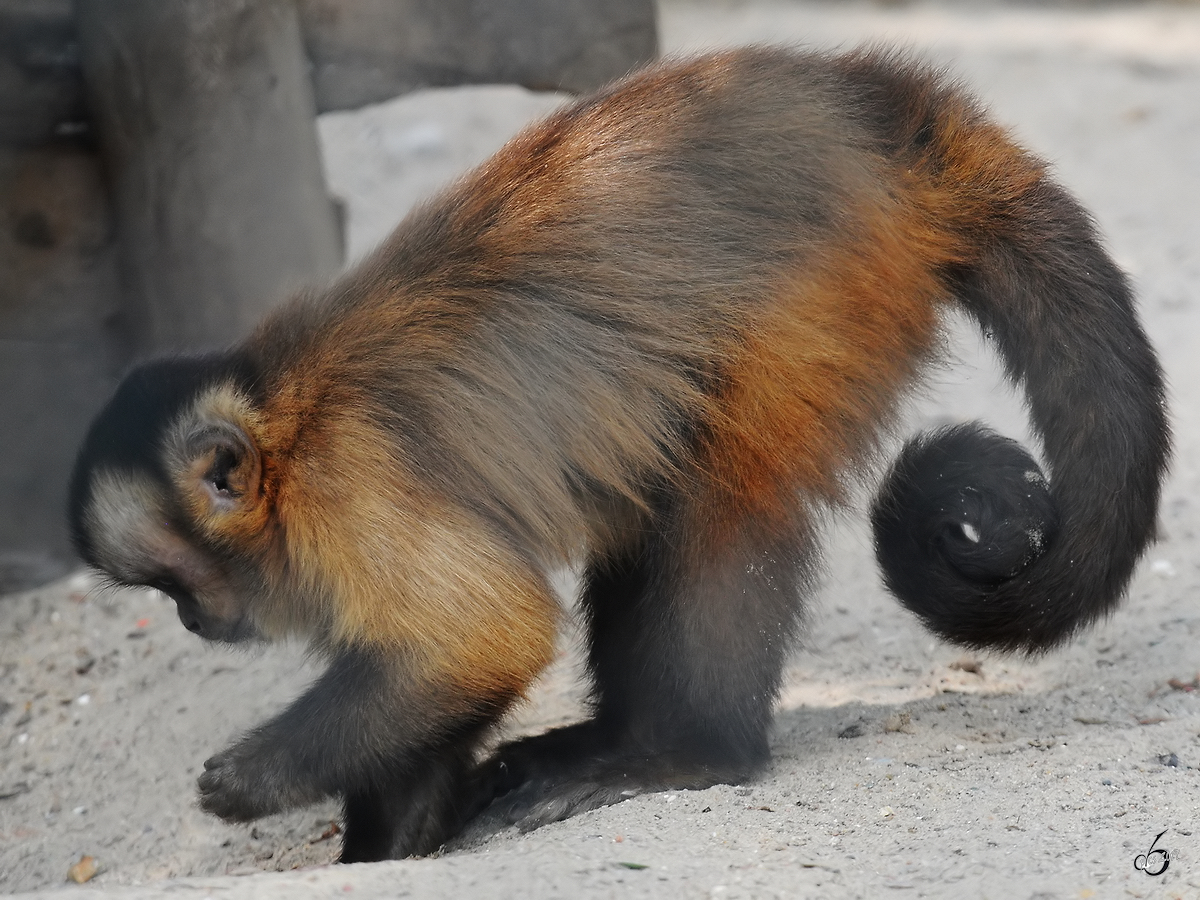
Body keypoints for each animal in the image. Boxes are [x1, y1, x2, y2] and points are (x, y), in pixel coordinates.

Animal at [68, 47, 1171, 859]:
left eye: (171, 579)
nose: (193, 618)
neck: (286, 435)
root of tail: (871, 103)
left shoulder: (350, 488)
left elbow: (484, 634)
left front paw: (255, 780)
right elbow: (441, 667)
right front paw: (397, 838)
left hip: (822, 283)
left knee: (713, 499)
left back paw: (683, 756)